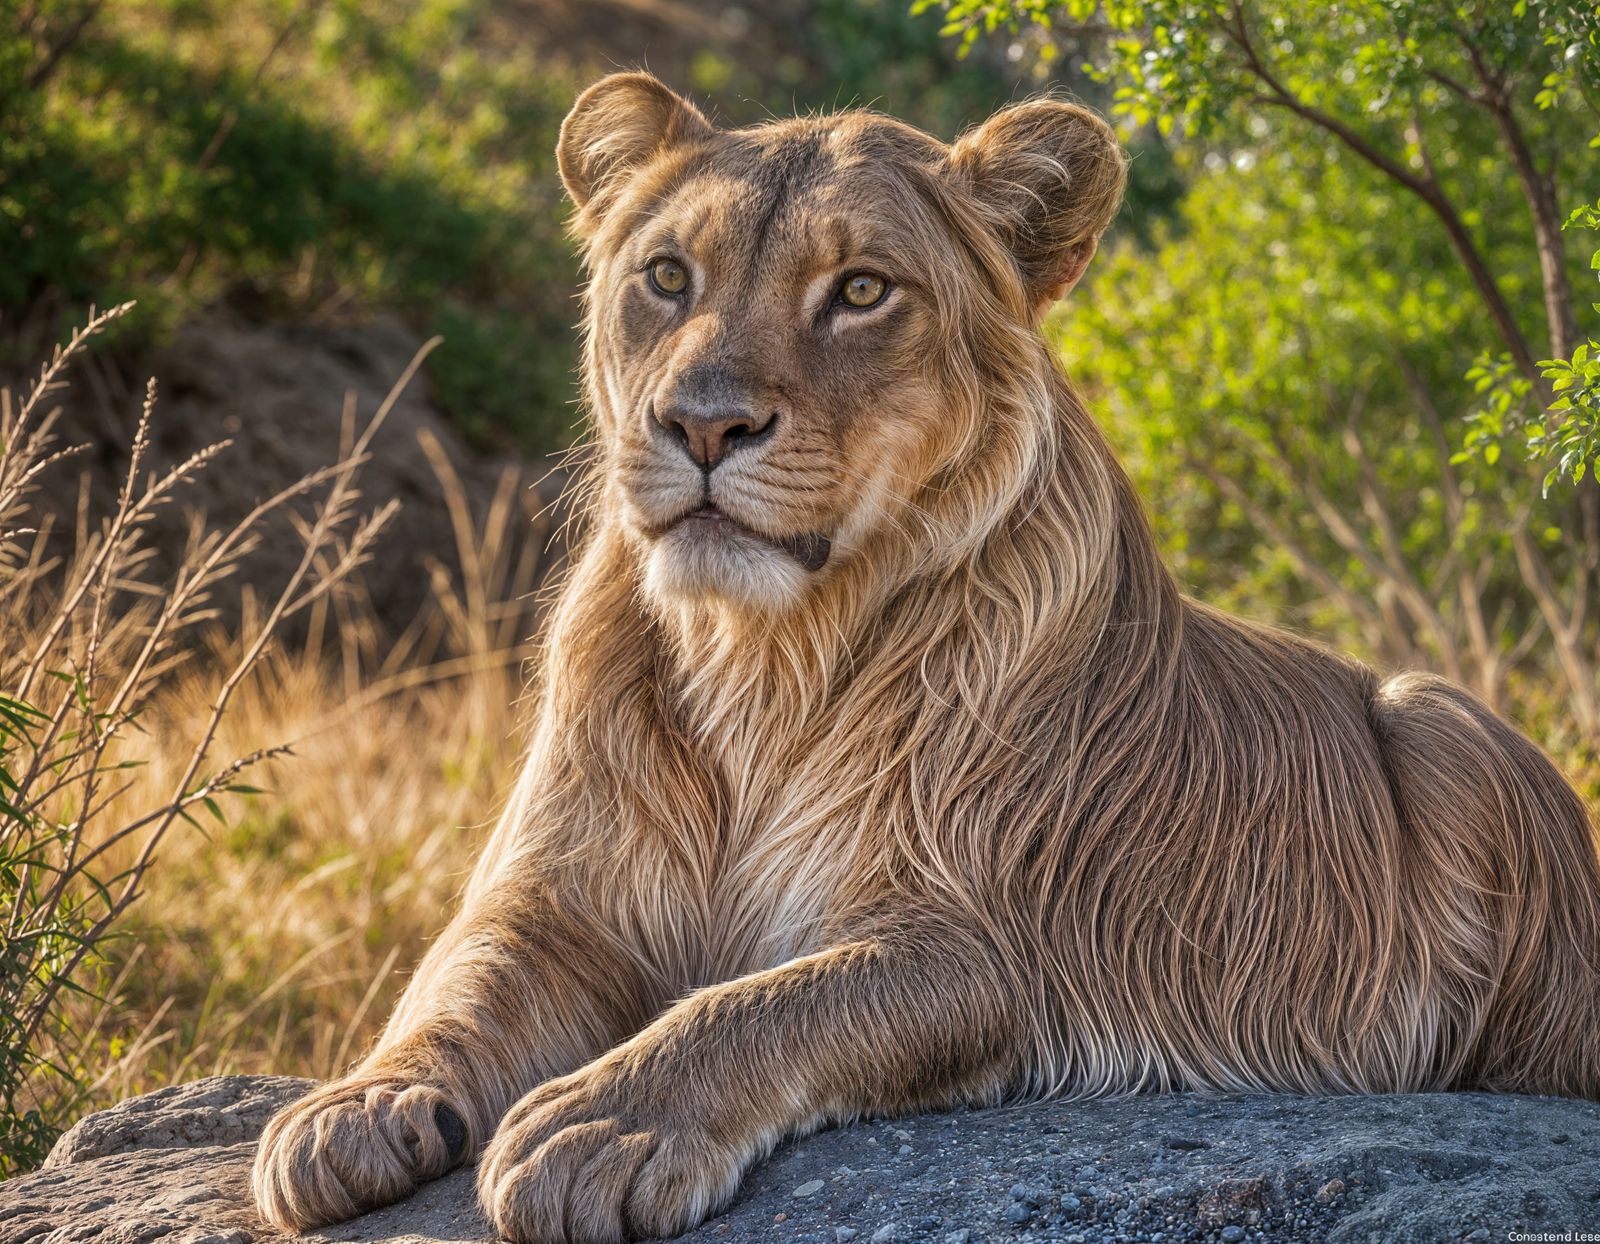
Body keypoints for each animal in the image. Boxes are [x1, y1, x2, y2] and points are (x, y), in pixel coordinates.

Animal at [253, 73, 1600, 1244]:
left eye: (859, 289)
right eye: (666, 277)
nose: (700, 423)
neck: (762, 652)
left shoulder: (984, 938)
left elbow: (756, 1004)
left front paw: (601, 1122)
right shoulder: (558, 894)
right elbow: (456, 979)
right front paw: (350, 1106)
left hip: (1439, 719)